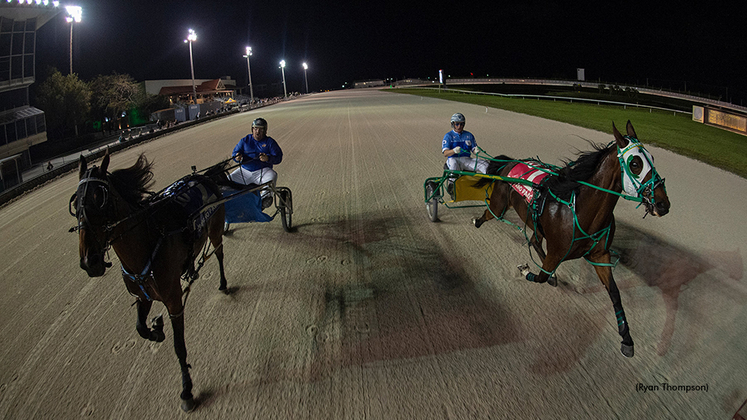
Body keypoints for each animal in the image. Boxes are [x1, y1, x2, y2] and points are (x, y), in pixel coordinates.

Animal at [71, 150, 228, 410]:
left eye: (100, 199)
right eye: (75, 205)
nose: (89, 261)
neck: (146, 244)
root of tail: (203, 176)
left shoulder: (174, 301)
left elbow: (179, 347)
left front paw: (187, 390)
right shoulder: (142, 295)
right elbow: (140, 327)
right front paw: (156, 329)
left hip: (215, 230)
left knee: (219, 253)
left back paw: (224, 283)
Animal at [474, 121, 672, 358]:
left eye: (653, 157)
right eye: (635, 163)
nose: (663, 204)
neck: (583, 212)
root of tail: (510, 162)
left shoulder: (600, 255)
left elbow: (615, 293)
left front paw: (627, 338)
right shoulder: (557, 251)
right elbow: (540, 277)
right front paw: (525, 270)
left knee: (534, 240)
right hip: (499, 206)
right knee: (488, 215)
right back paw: (476, 221)